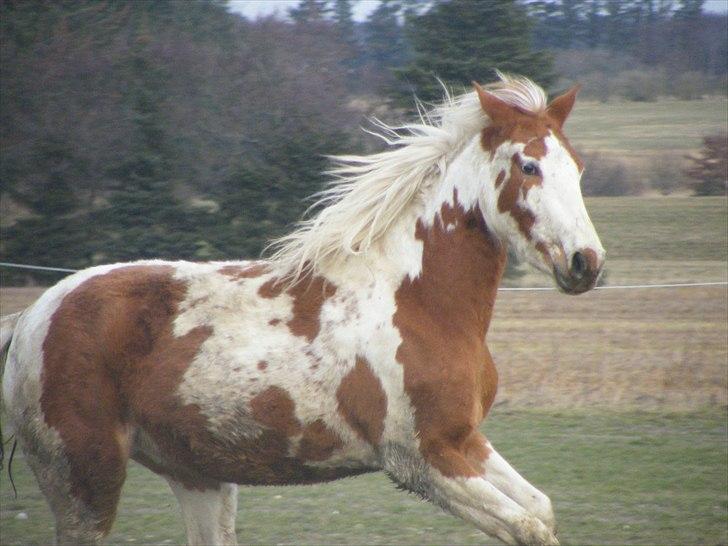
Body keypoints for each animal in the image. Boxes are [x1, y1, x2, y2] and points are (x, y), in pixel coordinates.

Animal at [0, 73, 604, 544]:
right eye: (528, 166)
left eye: (577, 168)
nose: (586, 262)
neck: (419, 303)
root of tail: (31, 318)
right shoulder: (421, 460)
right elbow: (528, 527)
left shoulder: (465, 440)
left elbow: (540, 508)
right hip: (85, 482)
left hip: (197, 478)